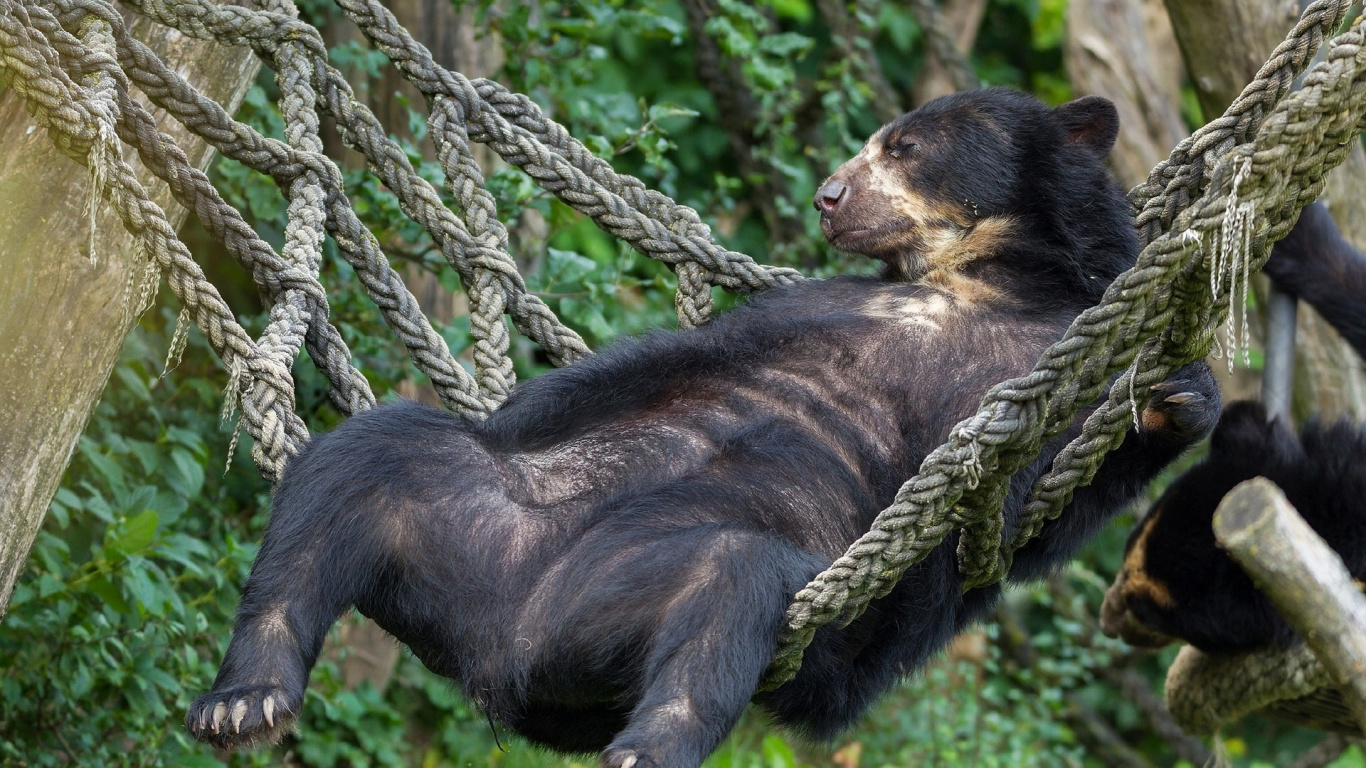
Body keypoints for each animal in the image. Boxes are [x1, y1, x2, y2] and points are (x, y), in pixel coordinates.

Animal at [186, 88, 1219, 768]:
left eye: (906, 146)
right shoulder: (816, 306)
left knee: (731, 592)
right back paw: (245, 700)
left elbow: (1041, 511)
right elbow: (661, 362)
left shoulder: (1052, 359)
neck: (978, 279)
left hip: (630, 599)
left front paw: (1182, 396)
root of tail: (494, 650)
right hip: (476, 515)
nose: (829, 196)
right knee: (365, 462)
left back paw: (647, 746)